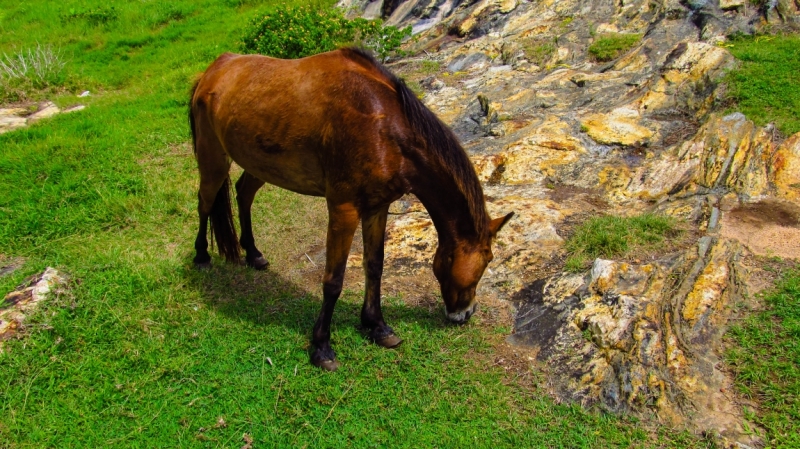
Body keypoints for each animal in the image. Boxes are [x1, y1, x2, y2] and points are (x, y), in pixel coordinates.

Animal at [188, 47, 512, 370]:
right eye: (487, 259)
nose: (466, 313)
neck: (384, 129)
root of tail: (214, 69)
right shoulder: (343, 209)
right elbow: (333, 280)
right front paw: (321, 347)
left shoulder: (377, 207)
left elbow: (375, 266)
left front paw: (377, 326)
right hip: (212, 158)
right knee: (205, 202)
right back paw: (202, 256)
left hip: (260, 165)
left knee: (243, 194)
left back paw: (253, 253)